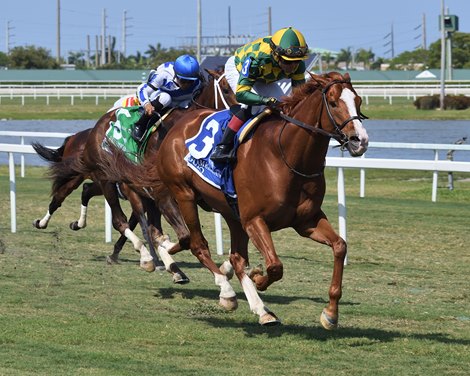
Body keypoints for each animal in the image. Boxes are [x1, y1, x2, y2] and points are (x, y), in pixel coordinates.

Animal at [104, 72, 370, 328]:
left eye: (358, 101)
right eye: (334, 103)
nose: (360, 140)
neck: (286, 156)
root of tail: (177, 128)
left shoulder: (306, 221)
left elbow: (340, 246)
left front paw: (330, 313)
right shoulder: (254, 220)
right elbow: (275, 266)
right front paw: (258, 278)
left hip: (230, 213)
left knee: (232, 256)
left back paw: (261, 309)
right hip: (184, 194)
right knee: (197, 244)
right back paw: (225, 291)